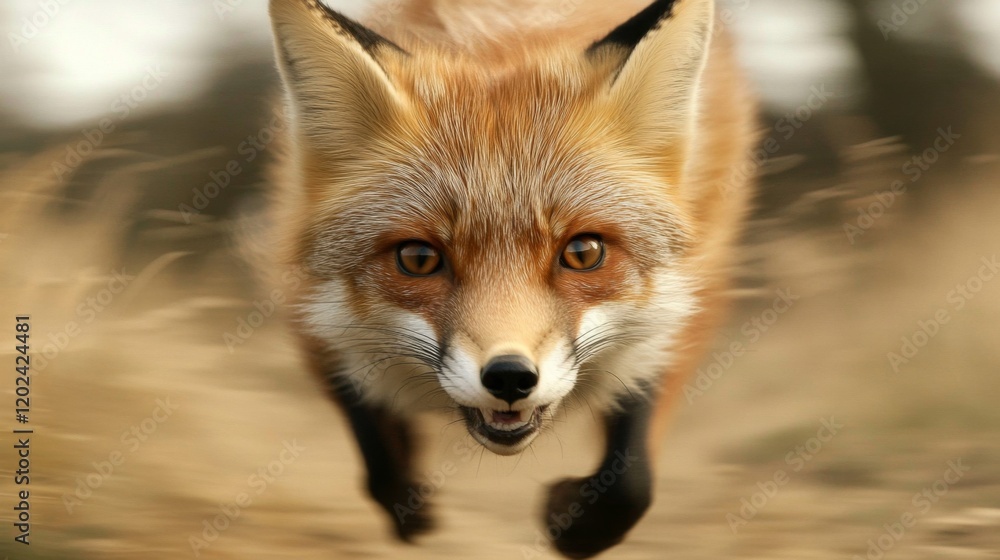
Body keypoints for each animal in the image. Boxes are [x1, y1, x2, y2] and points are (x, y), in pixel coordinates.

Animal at [265, 0, 756, 556]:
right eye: (418, 258)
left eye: (583, 253)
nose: (509, 377)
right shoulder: (298, 285)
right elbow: (371, 438)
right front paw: (407, 502)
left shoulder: (688, 297)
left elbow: (632, 481)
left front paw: (576, 523)